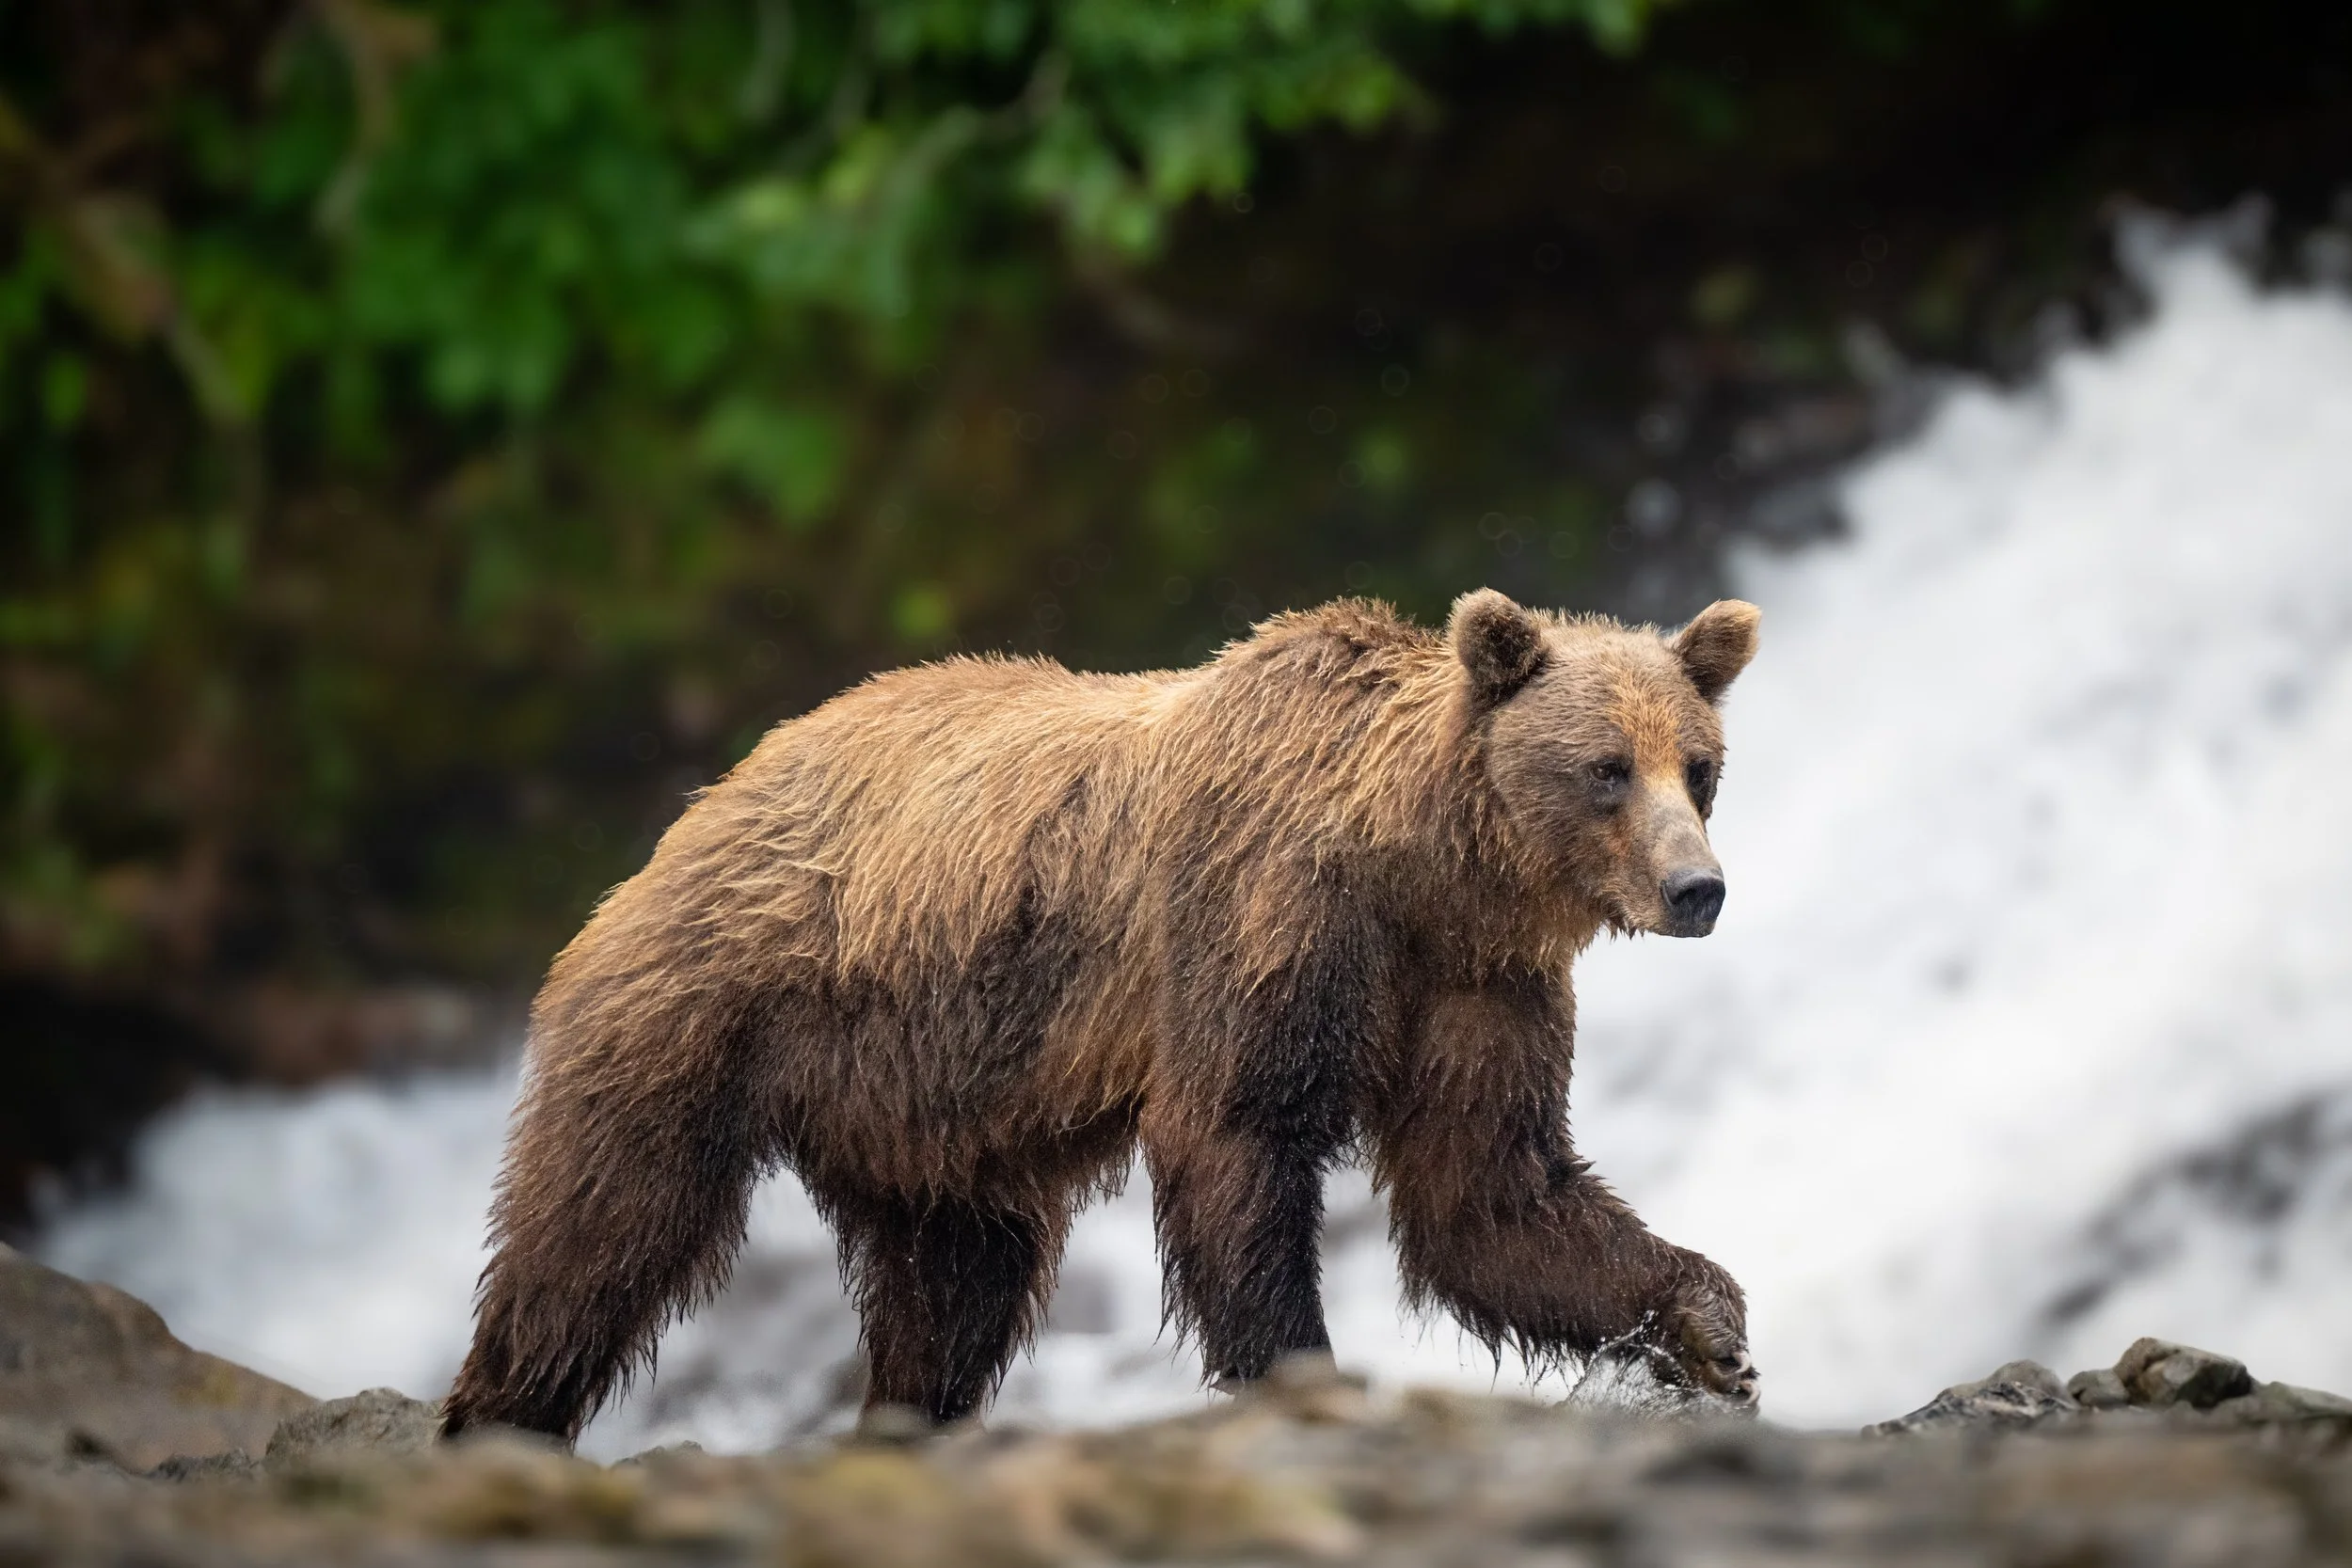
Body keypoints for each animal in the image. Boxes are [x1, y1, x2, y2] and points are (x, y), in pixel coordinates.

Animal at [439, 589, 1763, 1442]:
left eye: (1697, 764)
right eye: (1605, 767)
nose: (1696, 888)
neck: (1421, 866)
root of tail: (699, 803)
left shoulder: (1470, 984)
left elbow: (1487, 1188)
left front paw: (1713, 1329)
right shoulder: (1268, 924)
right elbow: (1236, 1136)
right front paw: (1301, 1367)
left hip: (924, 1110)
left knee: (954, 1287)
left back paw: (907, 1418)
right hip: (709, 1006)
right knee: (600, 1229)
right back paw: (502, 1410)